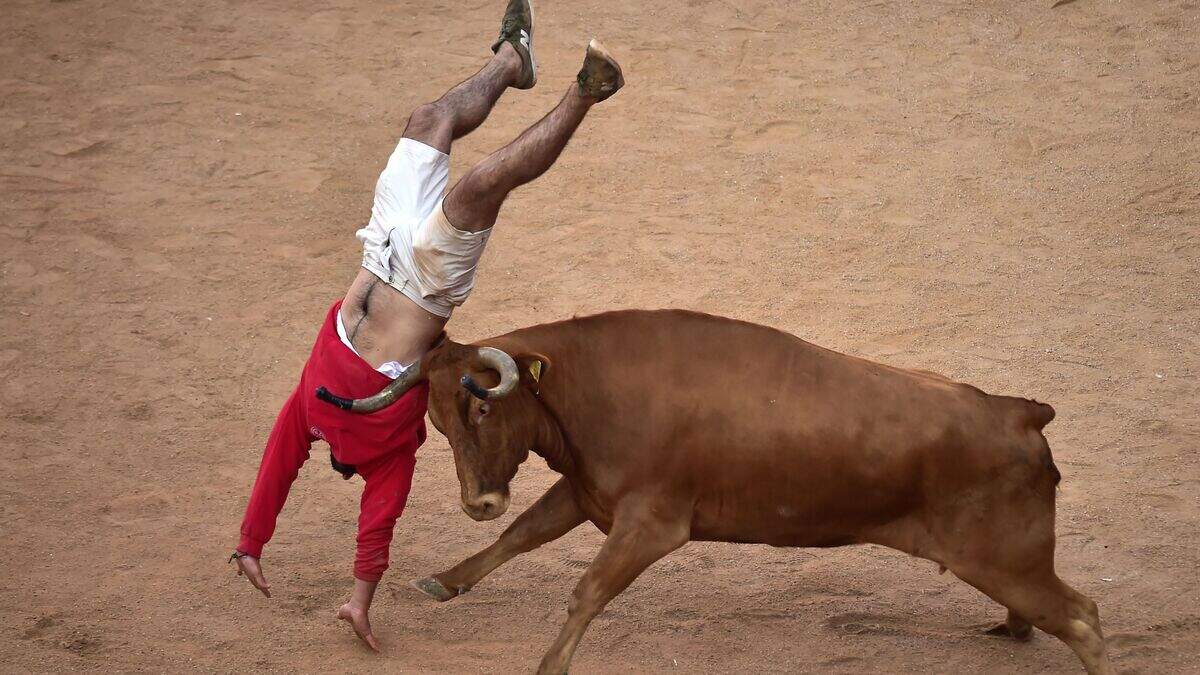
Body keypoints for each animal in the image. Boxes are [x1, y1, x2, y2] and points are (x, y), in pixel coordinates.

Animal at [316, 309, 1112, 674]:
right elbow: (522, 536)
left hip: (1004, 556)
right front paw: (447, 580)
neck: (588, 385)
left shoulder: (649, 522)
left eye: (482, 407)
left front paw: (549, 664)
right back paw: (1012, 629)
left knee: (1082, 617)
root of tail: (1018, 410)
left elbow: (587, 590)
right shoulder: (588, 494)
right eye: (436, 420)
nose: (477, 501)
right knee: (1062, 610)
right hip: (1004, 560)